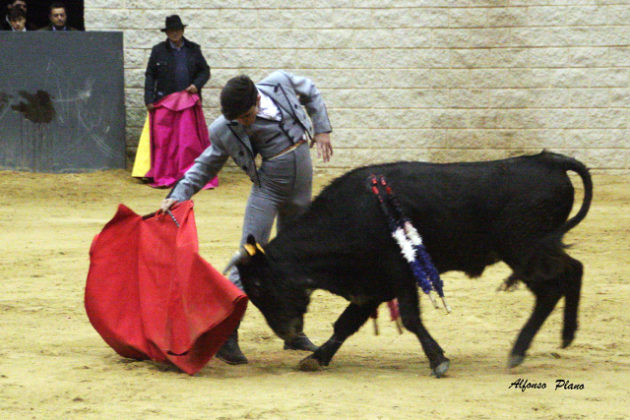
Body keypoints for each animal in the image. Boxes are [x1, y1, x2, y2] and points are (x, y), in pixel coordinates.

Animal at [230, 152, 596, 378]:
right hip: (537, 249)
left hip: (525, 250)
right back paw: (565, 336)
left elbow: (409, 317)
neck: (349, 215)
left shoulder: (398, 275)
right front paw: (316, 358)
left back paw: (519, 351)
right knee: (574, 270)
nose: (287, 333)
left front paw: (438, 360)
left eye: (259, 285)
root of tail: (549, 160)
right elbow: (345, 324)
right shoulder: (372, 286)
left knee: (552, 287)